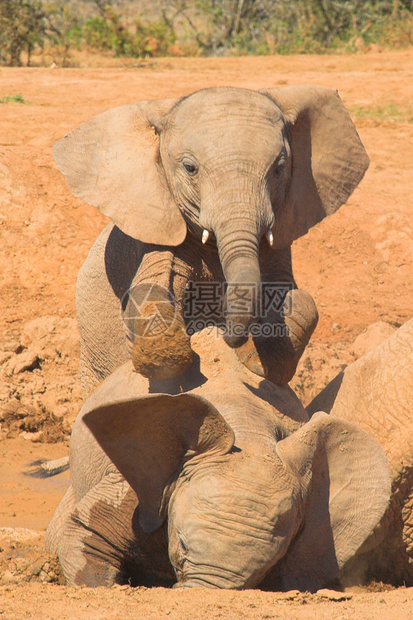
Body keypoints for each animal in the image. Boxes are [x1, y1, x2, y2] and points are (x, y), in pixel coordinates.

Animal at [53, 85, 368, 394]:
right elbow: (149, 289)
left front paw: (260, 360)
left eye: (279, 169)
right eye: (190, 168)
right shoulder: (160, 230)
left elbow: (298, 297)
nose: (224, 331)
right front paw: (169, 356)